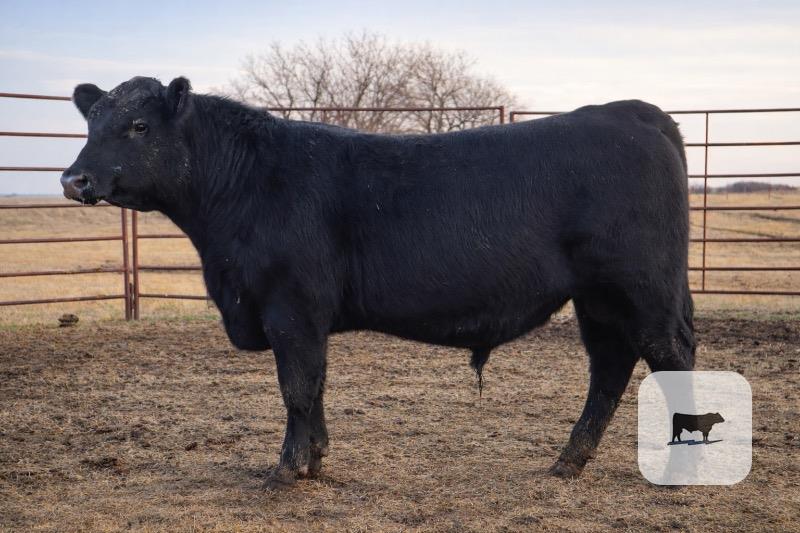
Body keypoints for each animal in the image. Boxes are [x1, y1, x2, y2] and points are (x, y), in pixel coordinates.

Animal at [61, 76, 696, 489]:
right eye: (91, 124)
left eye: (139, 125)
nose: (73, 179)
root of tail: (632, 110)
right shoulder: (302, 316)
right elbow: (315, 385)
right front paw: (316, 461)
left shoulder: (290, 305)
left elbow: (296, 387)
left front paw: (286, 471)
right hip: (599, 299)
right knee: (609, 367)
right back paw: (568, 462)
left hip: (643, 289)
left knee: (669, 359)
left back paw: (677, 468)